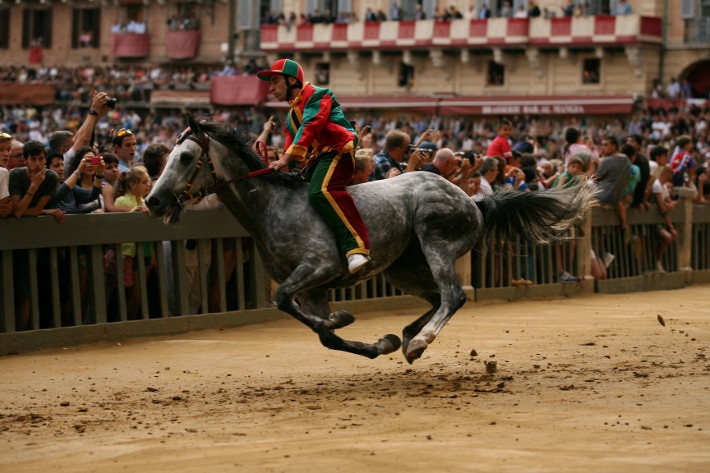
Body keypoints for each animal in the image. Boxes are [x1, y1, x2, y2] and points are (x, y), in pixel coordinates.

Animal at [146, 115, 596, 366]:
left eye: (184, 157)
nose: (153, 200)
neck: (273, 205)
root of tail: (472, 198)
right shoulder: (314, 290)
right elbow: (323, 333)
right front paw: (377, 340)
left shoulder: (320, 267)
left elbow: (284, 300)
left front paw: (345, 319)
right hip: (403, 268)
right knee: (437, 298)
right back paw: (408, 335)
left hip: (435, 240)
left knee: (453, 295)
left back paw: (420, 342)